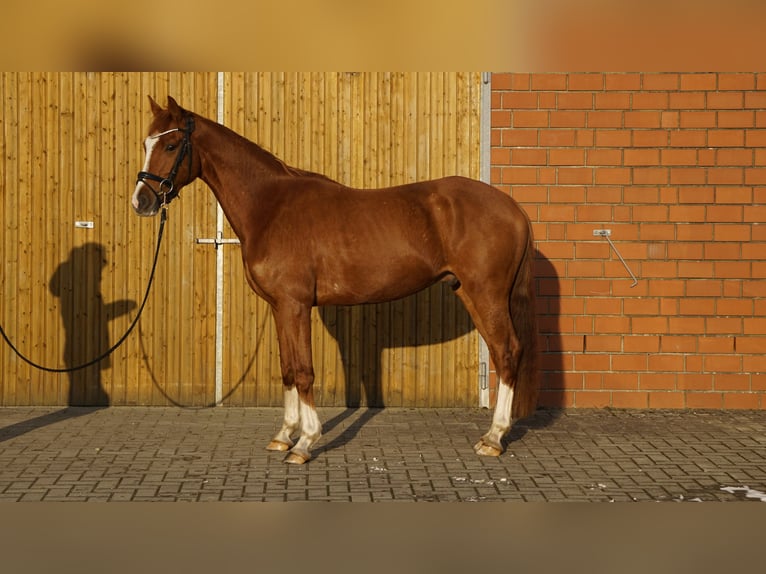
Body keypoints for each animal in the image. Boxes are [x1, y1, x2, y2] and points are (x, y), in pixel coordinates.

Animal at [132, 96, 539, 464]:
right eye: (146, 144)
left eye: (171, 145)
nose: (142, 201)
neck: (271, 206)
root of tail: (512, 207)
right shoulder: (280, 308)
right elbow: (287, 369)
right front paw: (283, 435)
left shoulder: (295, 305)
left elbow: (303, 371)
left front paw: (305, 443)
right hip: (470, 292)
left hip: (486, 294)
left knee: (506, 352)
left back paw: (493, 438)